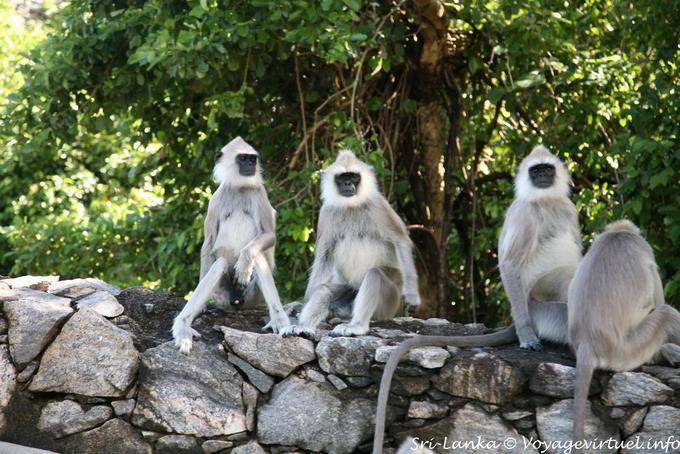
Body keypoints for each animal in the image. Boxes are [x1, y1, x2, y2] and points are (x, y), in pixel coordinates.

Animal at [172, 137, 291, 354]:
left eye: (252, 159)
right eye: (243, 159)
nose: (250, 165)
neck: (239, 188)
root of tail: (237, 302)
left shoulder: (260, 193)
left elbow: (268, 236)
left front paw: (244, 263)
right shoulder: (215, 200)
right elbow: (208, 243)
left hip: (252, 296)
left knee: (257, 256)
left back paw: (280, 322)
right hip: (222, 296)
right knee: (218, 264)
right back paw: (183, 327)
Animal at [280, 150, 421, 338]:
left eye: (353, 177)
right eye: (342, 177)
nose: (347, 183)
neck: (351, 206)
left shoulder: (378, 205)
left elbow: (401, 240)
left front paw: (412, 296)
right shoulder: (326, 212)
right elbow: (324, 256)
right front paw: (302, 305)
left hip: (389, 303)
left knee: (375, 274)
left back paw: (357, 326)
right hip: (350, 291)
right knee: (324, 290)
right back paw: (303, 327)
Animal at [371, 145, 582, 453]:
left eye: (547, 169)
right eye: (536, 171)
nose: (542, 176)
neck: (546, 201)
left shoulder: (569, 209)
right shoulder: (525, 213)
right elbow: (510, 264)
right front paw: (527, 337)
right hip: (541, 305)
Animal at [570, 220, 680, 443]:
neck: (618, 233)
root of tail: (588, 342)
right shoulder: (645, 250)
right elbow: (658, 299)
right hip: (629, 351)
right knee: (666, 313)